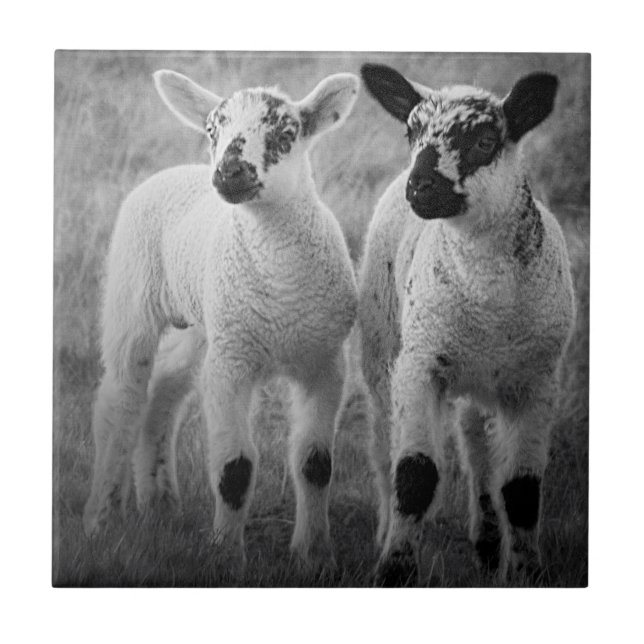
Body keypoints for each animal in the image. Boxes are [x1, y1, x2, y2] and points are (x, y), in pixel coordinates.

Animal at [82, 69, 360, 574]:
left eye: (287, 134)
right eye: (212, 131)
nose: (230, 172)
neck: (283, 290)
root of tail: (178, 170)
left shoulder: (325, 361)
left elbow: (315, 464)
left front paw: (315, 555)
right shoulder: (233, 362)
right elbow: (234, 469)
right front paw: (227, 554)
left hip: (204, 325)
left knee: (163, 390)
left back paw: (158, 501)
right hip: (133, 288)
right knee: (121, 396)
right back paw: (103, 514)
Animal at [358, 63, 576, 586]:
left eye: (484, 141)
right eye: (411, 132)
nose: (420, 186)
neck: (489, 304)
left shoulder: (538, 379)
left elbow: (522, 490)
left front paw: (528, 571)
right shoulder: (420, 363)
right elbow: (415, 476)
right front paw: (395, 568)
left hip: (480, 379)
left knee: (477, 448)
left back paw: (488, 542)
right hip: (382, 346)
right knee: (383, 445)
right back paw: (385, 530)